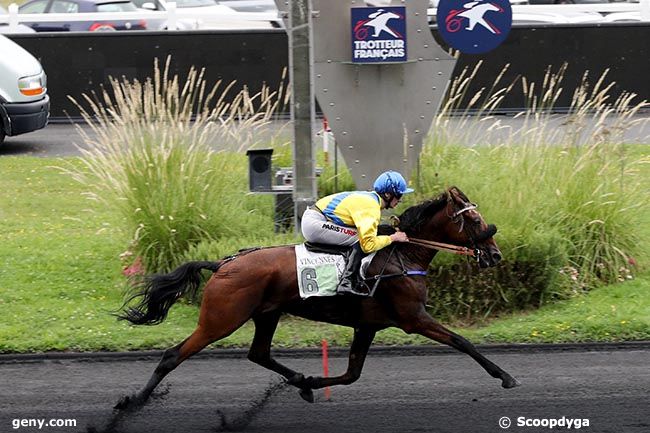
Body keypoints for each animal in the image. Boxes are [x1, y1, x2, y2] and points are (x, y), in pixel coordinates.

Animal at [116, 186, 520, 408]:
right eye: (475, 220)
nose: (495, 255)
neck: (404, 257)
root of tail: (222, 263)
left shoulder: (367, 326)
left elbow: (352, 374)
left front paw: (311, 383)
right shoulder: (413, 318)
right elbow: (462, 342)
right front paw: (505, 376)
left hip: (266, 314)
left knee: (259, 354)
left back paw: (299, 381)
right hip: (221, 319)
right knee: (172, 356)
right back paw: (132, 401)